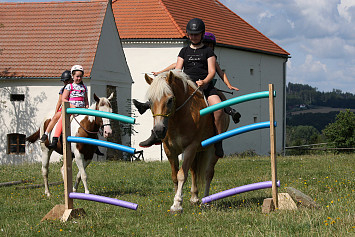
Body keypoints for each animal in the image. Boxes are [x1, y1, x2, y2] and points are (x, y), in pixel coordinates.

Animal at [145, 69, 231, 212]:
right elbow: (175, 176)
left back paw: (206, 201)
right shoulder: (170, 150)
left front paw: (177, 204)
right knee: (194, 171)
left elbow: (181, 175)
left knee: (208, 173)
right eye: (150, 101)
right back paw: (194, 198)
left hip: (210, 150)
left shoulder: (190, 147)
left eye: (170, 100)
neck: (179, 118)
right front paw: (178, 198)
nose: (158, 130)